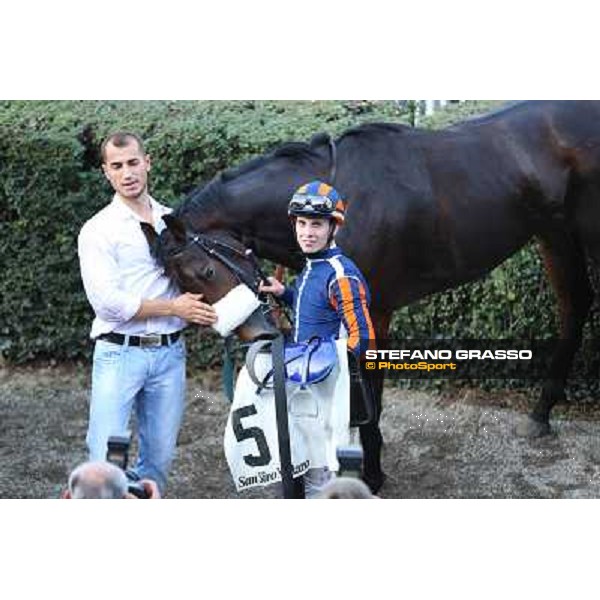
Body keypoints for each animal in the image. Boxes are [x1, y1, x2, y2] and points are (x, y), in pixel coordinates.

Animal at [148, 102, 600, 492]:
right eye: (179, 286)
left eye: (204, 272)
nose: (254, 333)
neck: (337, 202)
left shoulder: (372, 311)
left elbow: (369, 398)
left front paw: (371, 475)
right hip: (554, 232)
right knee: (575, 305)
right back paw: (541, 413)